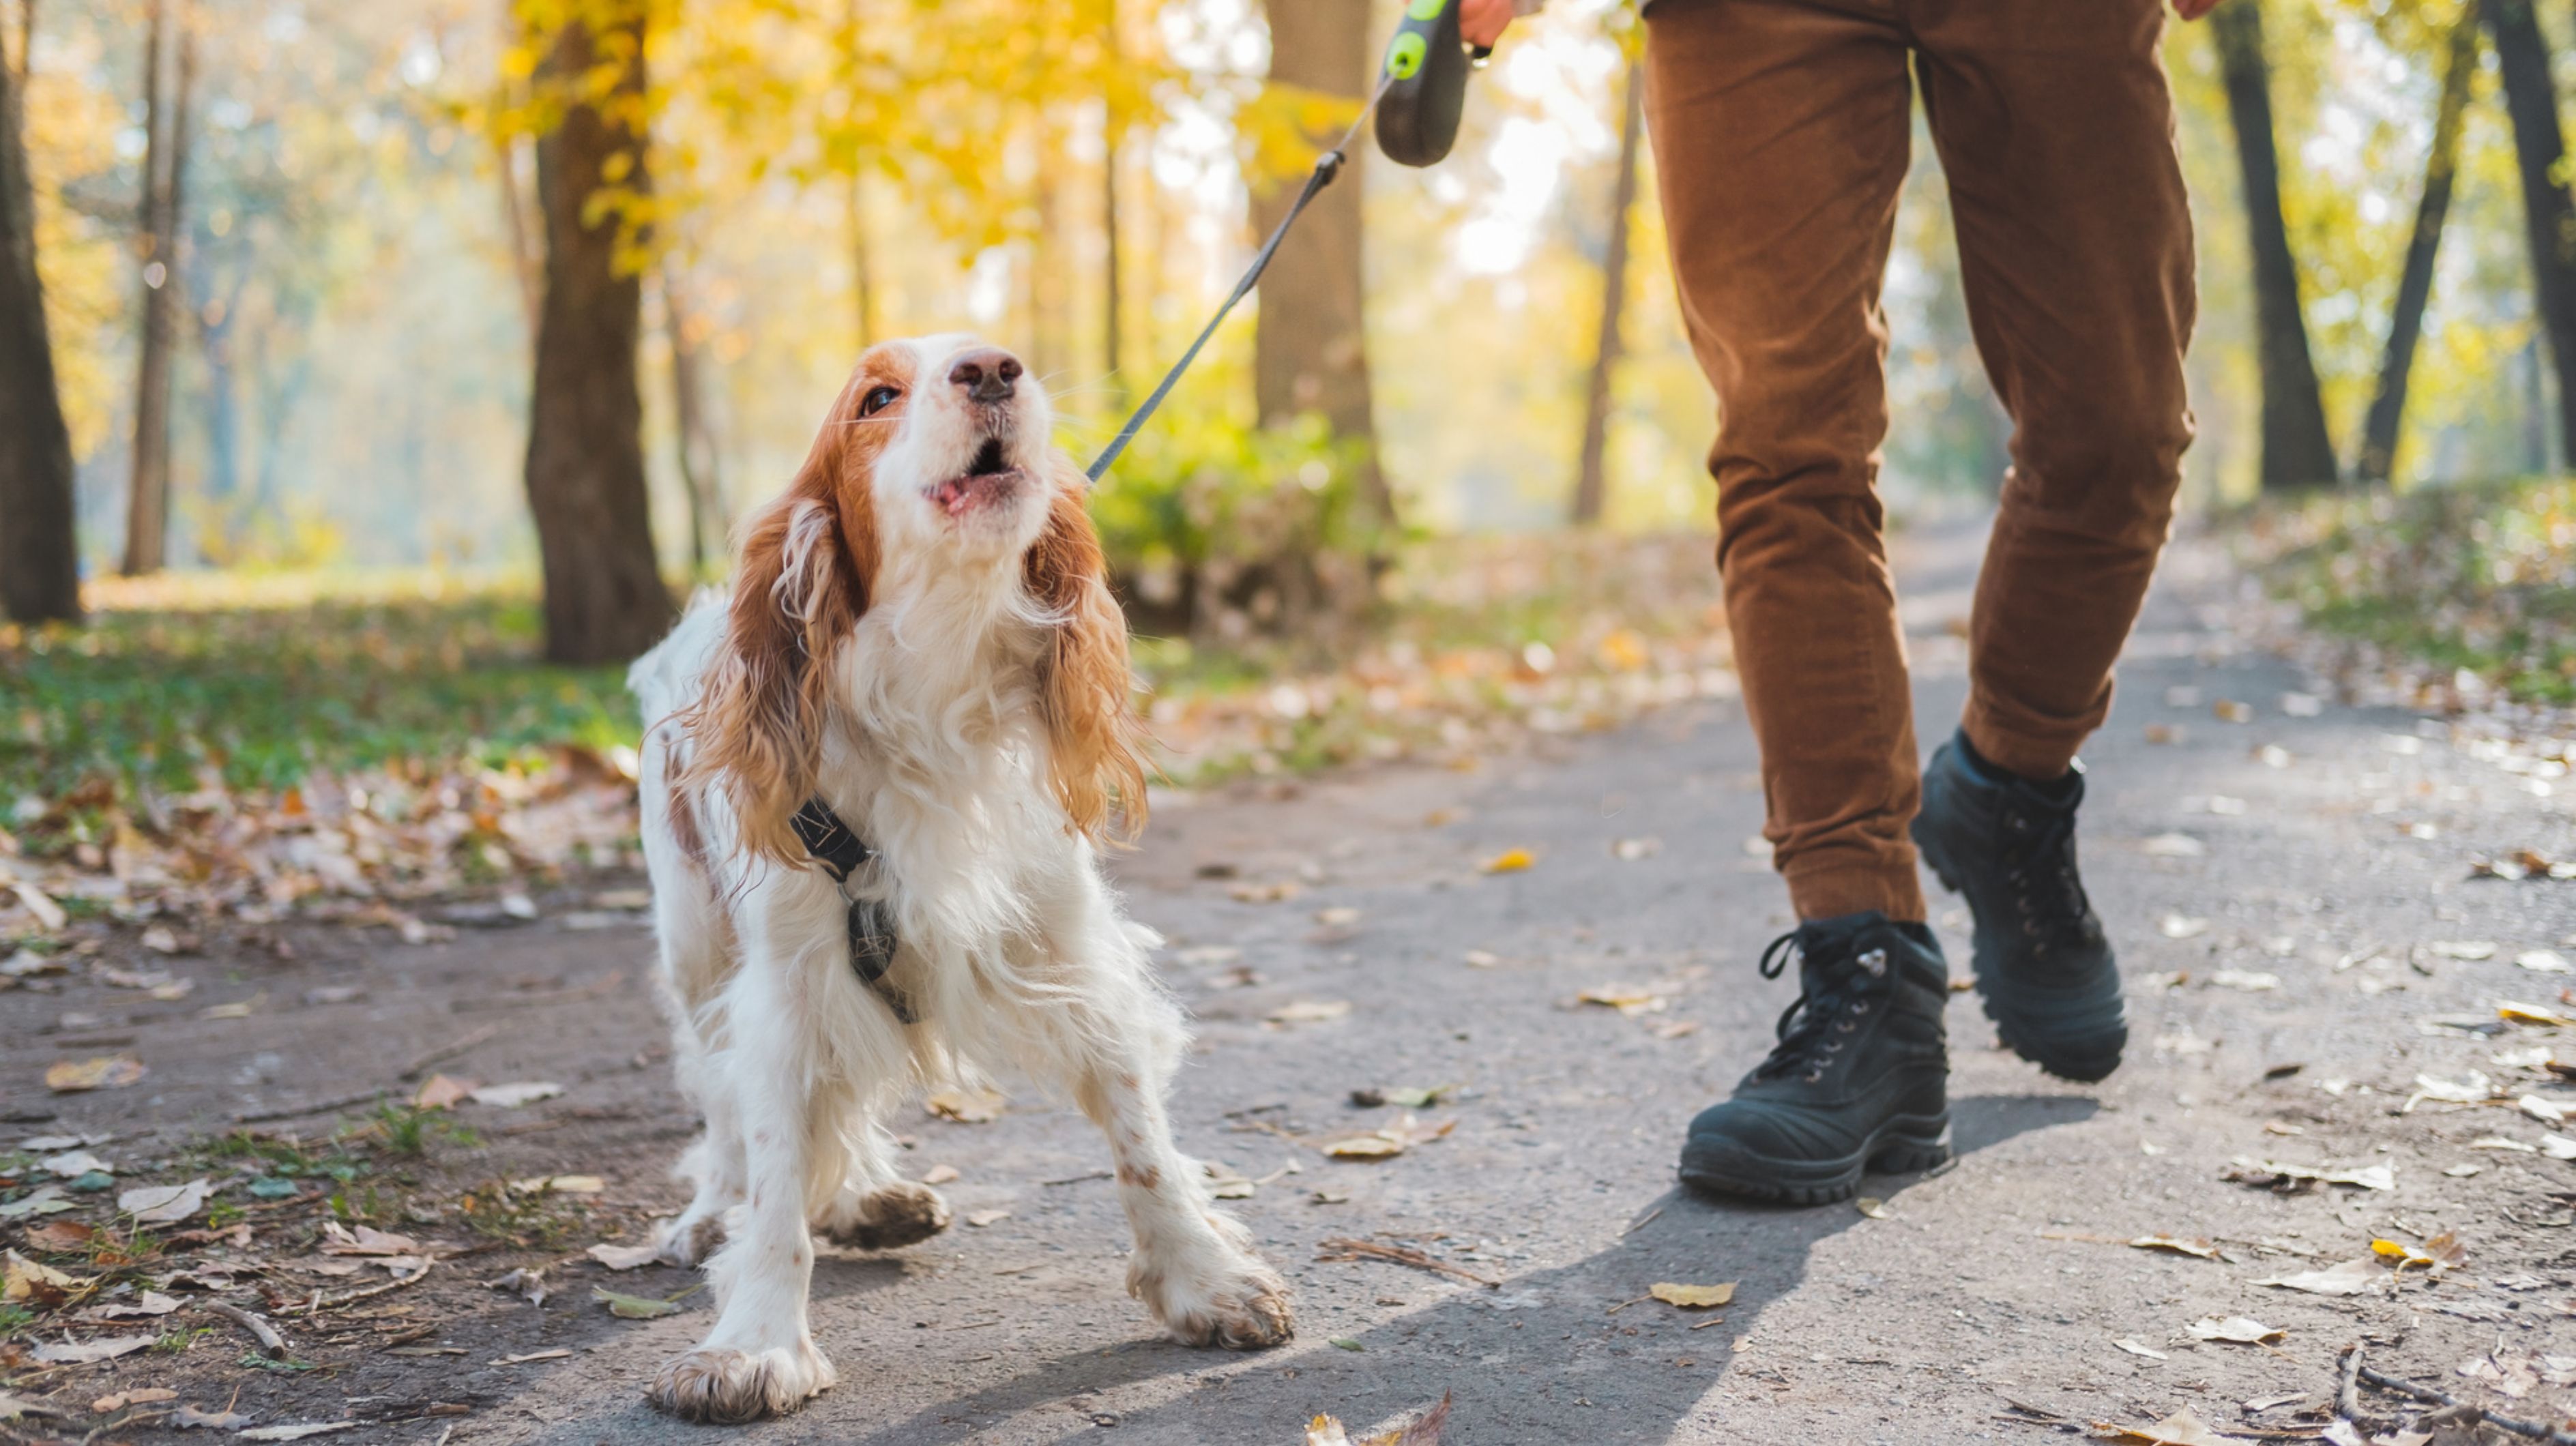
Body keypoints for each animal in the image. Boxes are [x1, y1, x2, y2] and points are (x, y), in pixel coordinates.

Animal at [621, 329, 1298, 1422]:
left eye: (994, 353)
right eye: (877, 397)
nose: (991, 368)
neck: (934, 688)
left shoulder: (1069, 948)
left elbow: (1142, 1140)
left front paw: (1204, 1276)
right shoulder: (788, 983)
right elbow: (773, 1171)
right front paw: (754, 1343)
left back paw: (868, 1196)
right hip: (696, 946)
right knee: (720, 1100)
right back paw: (714, 1210)